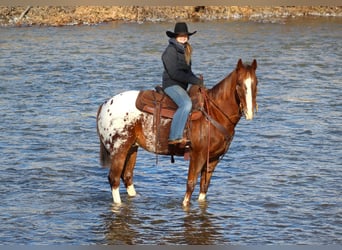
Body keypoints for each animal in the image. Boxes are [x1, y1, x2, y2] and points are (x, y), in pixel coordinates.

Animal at [95, 58, 256, 207]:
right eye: (239, 84)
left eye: (255, 83)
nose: (249, 112)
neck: (214, 114)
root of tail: (105, 104)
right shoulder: (197, 156)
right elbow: (190, 185)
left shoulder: (213, 159)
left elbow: (204, 188)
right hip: (119, 150)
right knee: (114, 179)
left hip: (131, 148)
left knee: (127, 177)